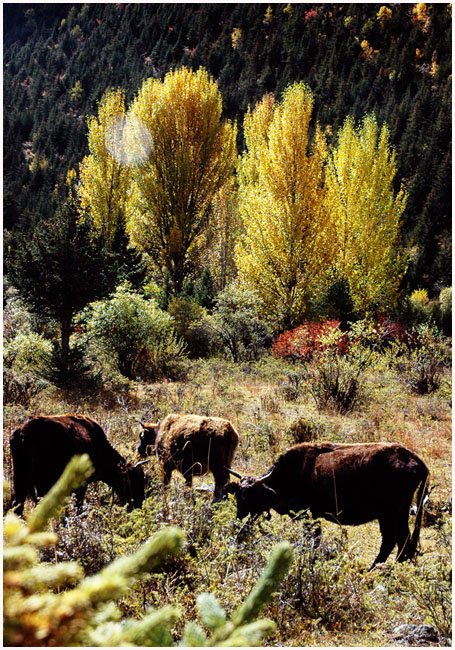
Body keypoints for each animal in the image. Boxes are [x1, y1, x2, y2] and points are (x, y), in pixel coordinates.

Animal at [9, 412, 145, 512]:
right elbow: (77, 504)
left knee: (18, 505)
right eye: (131, 480)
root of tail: (23, 432)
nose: (140, 502)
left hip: (20, 480)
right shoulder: (80, 485)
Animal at [226, 440, 430, 568]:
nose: (238, 522)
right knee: (402, 541)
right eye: (238, 496)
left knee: (394, 540)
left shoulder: (311, 517)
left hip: (389, 515)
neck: (294, 472)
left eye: (253, 497)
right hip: (397, 515)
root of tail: (415, 460)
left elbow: (314, 540)